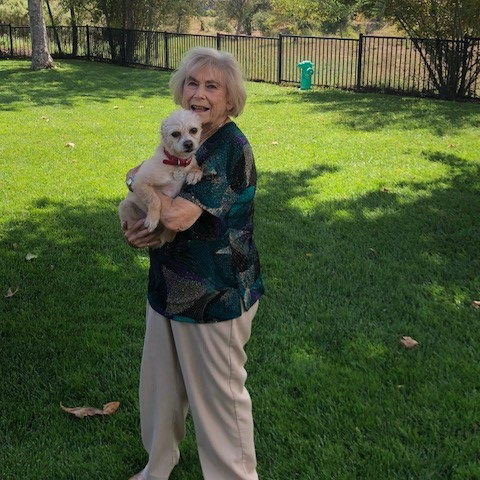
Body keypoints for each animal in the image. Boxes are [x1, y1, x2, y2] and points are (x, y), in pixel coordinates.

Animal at [121, 109, 203, 244]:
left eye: (194, 130)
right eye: (175, 134)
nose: (189, 144)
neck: (177, 163)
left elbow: (195, 166)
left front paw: (195, 173)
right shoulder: (140, 182)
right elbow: (155, 200)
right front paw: (152, 219)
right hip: (125, 206)